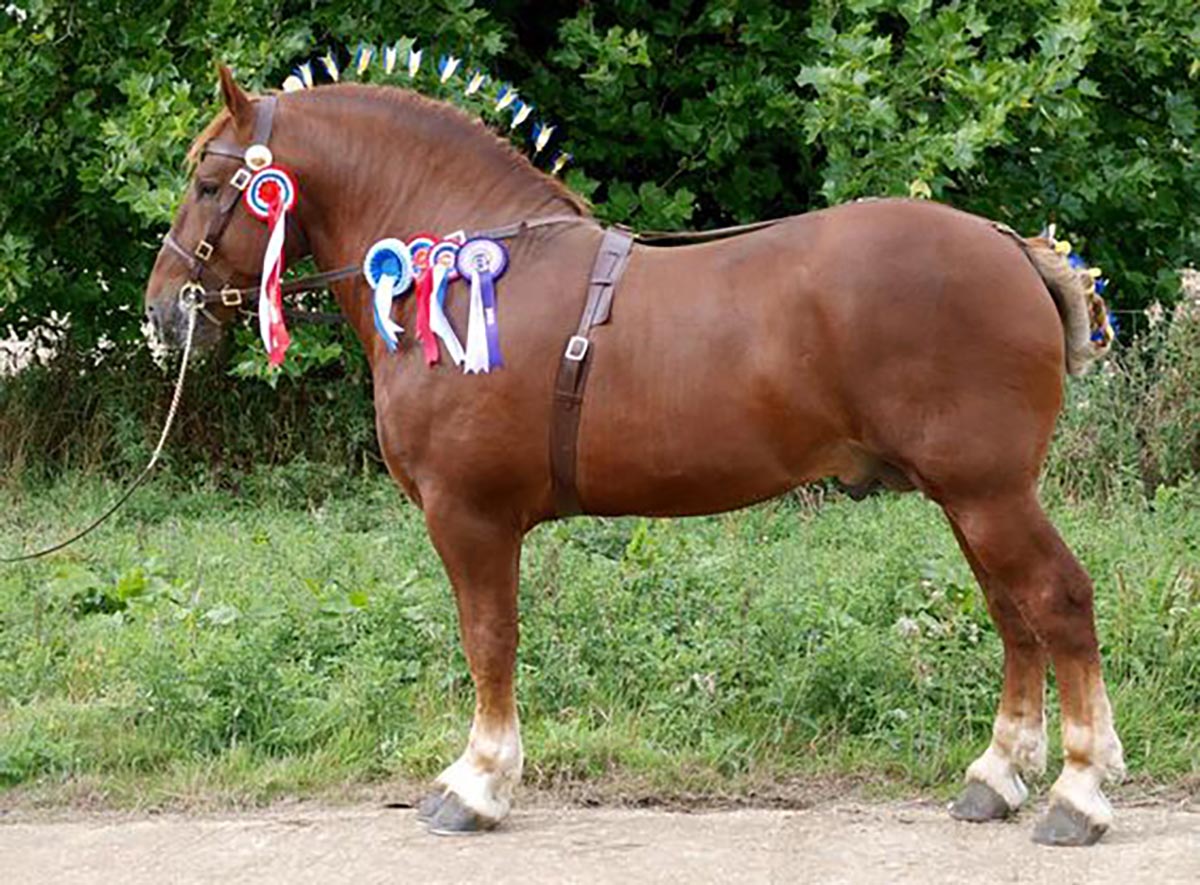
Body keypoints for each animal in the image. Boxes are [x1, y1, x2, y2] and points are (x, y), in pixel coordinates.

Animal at [142, 68, 1123, 839]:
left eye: (209, 178)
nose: (163, 310)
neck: (462, 276)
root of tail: (1010, 247)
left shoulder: (471, 515)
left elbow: (488, 638)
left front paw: (479, 781)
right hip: (969, 497)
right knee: (1013, 614)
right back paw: (997, 775)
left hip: (989, 492)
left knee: (1057, 601)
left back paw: (1076, 794)